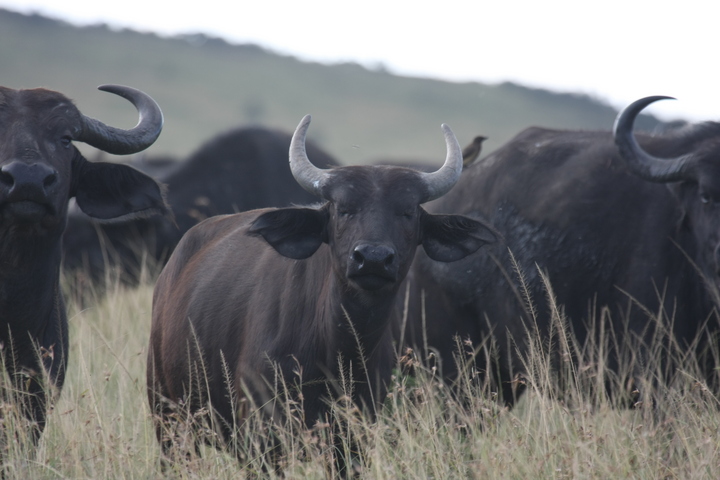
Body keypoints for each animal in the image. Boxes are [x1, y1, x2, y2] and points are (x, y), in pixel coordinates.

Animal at [146, 115, 496, 472]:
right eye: (343, 209)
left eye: (408, 212)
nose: (372, 258)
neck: (340, 351)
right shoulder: (262, 439)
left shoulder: (353, 441)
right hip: (169, 423)